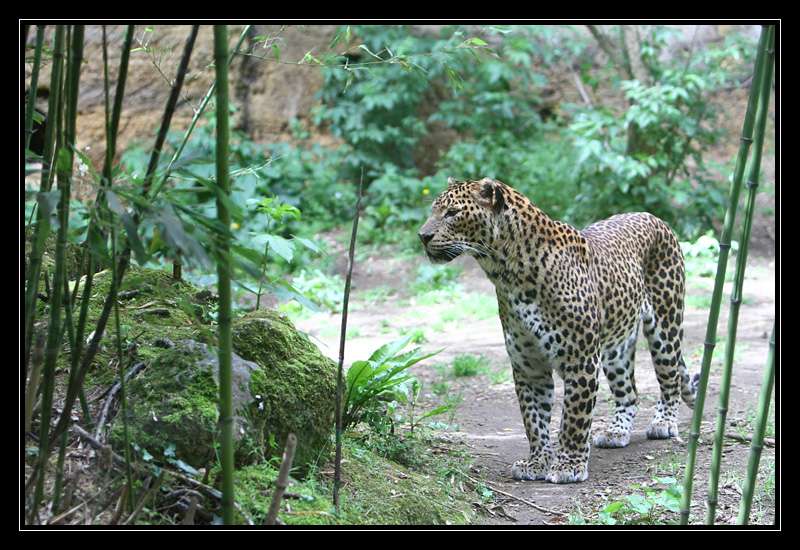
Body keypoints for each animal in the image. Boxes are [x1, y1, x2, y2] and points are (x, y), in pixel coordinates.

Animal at [418, 179, 700, 486]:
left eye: (452, 213)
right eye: (434, 210)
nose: (423, 235)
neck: (506, 272)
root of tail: (652, 216)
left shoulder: (581, 361)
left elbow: (573, 419)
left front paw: (569, 466)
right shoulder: (529, 366)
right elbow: (534, 420)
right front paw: (537, 462)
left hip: (665, 325)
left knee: (670, 378)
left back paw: (664, 423)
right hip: (616, 349)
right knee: (629, 392)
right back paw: (617, 431)